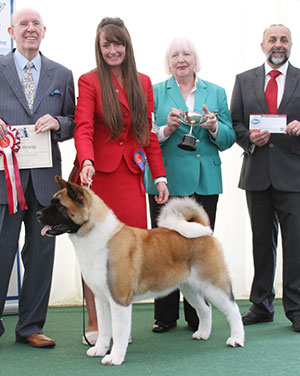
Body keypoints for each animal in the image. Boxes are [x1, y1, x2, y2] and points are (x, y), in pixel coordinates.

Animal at [37, 178, 244, 366]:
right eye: (52, 202)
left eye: (59, 205)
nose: (38, 214)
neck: (96, 236)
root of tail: (204, 229)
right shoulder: (101, 299)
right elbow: (104, 330)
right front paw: (99, 349)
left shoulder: (119, 300)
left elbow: (119, 332)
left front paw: (114, 358)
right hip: (189, 288)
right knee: (205, 309)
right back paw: (202, 334)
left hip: (213, 283)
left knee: (232, 309)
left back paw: (236, 339)